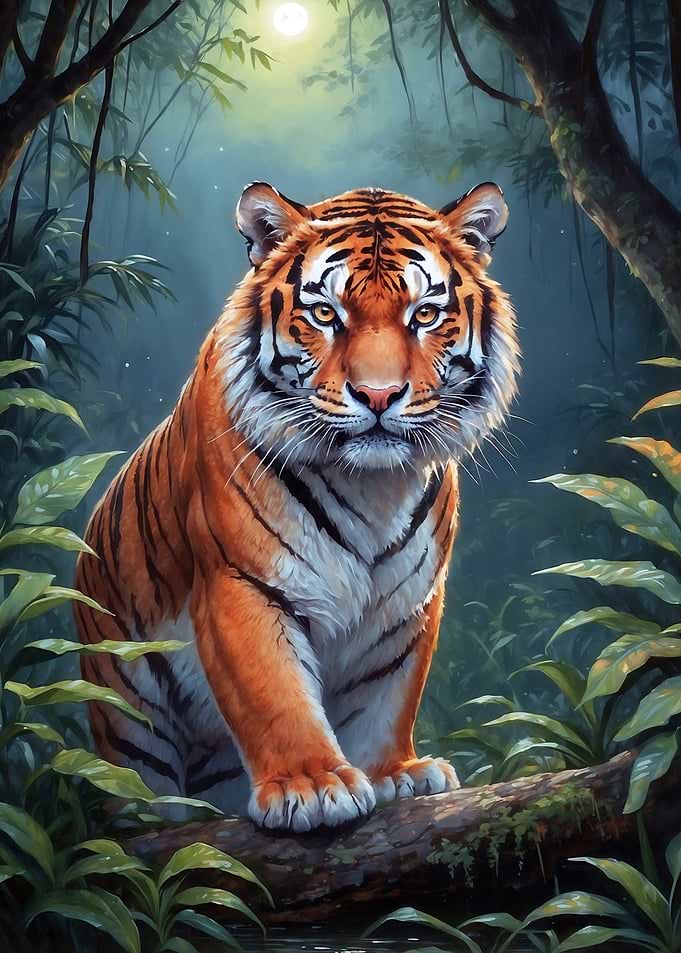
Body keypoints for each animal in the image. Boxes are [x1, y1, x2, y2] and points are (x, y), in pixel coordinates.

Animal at [74, 181, 520, 832]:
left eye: (425, 315)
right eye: (326, 314)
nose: (379, 395)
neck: (373, 488)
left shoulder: (409, 604)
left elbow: (390, 698)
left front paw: (395, 774)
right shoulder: (242, 583)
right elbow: (274, 694)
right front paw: (309, 786)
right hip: (129, 726)